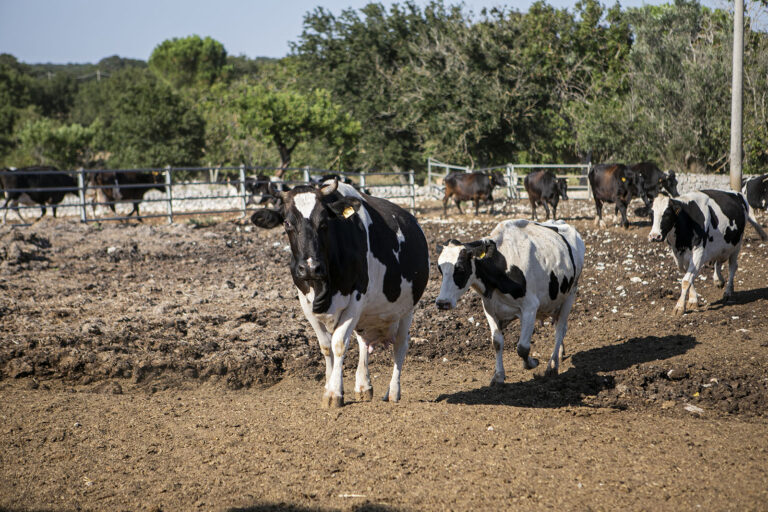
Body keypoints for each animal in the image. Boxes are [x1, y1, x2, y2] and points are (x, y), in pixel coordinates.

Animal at [252, 178, 432, 406]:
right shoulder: (306, 303)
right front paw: (329, 385)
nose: (310, 267)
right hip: (367, 316)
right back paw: (363, 385)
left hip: (407, 308)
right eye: (287, 223)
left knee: (400, 346)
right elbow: (326, 346)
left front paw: (334, 393)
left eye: (324, 223)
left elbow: (338, 344)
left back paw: (393, 392)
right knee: (364, 343)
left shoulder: (356, 299)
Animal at [436, 218, 584, 382]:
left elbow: (523, 347)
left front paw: (532, 363)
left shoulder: (530, 308)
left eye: (460, 268)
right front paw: (499, 375)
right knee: (560, 327)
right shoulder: (490, 309)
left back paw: (552, 365)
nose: (442, 303)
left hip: (570, 294)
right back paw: (560, 353)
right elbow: (497, 342)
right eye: (440, 268)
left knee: (560, 330)